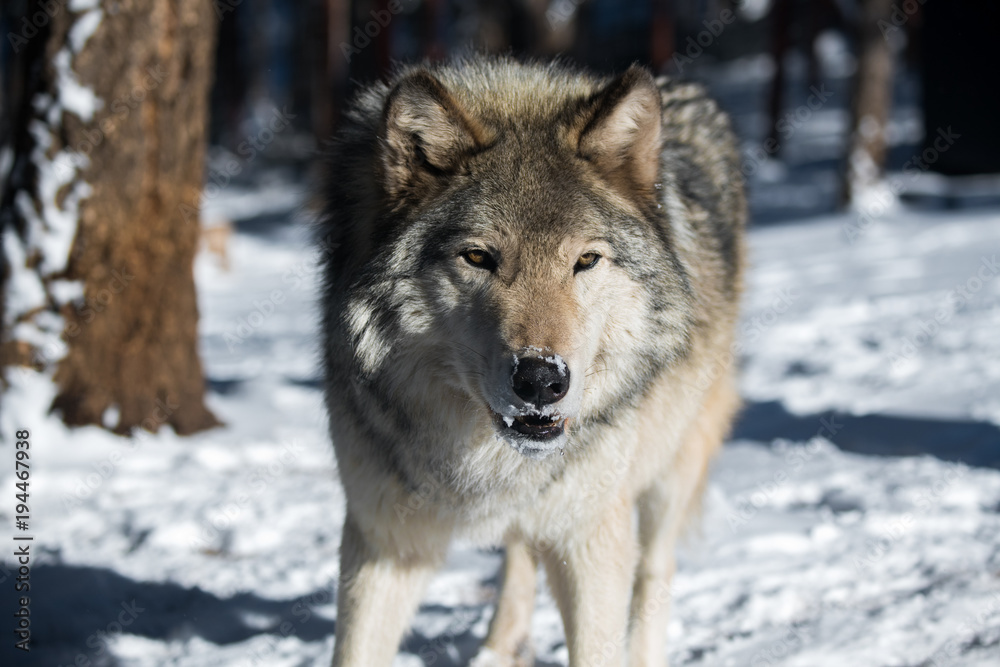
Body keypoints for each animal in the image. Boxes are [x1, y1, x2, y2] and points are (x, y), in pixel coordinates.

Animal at [317, 56, 745, 666]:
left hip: (672, 466)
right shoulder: (384, 542)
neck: (488, 460)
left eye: (586, 261)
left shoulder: (590, 537)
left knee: (654, 568)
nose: (542, 379)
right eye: (478, 257)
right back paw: (499, 648)